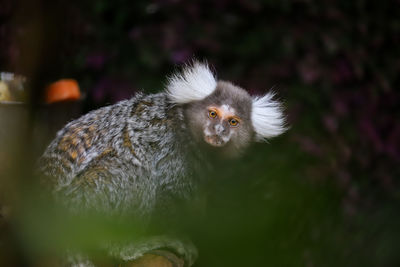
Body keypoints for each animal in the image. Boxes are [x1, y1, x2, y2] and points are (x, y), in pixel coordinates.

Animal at [38, 61, 288, 267]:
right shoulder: (173, 155)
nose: (218, 131)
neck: (186, 130)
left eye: (233, 122)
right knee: (135, 173)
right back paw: (125, 247)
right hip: (82, 204)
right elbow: (166, 194)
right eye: (213, 114)